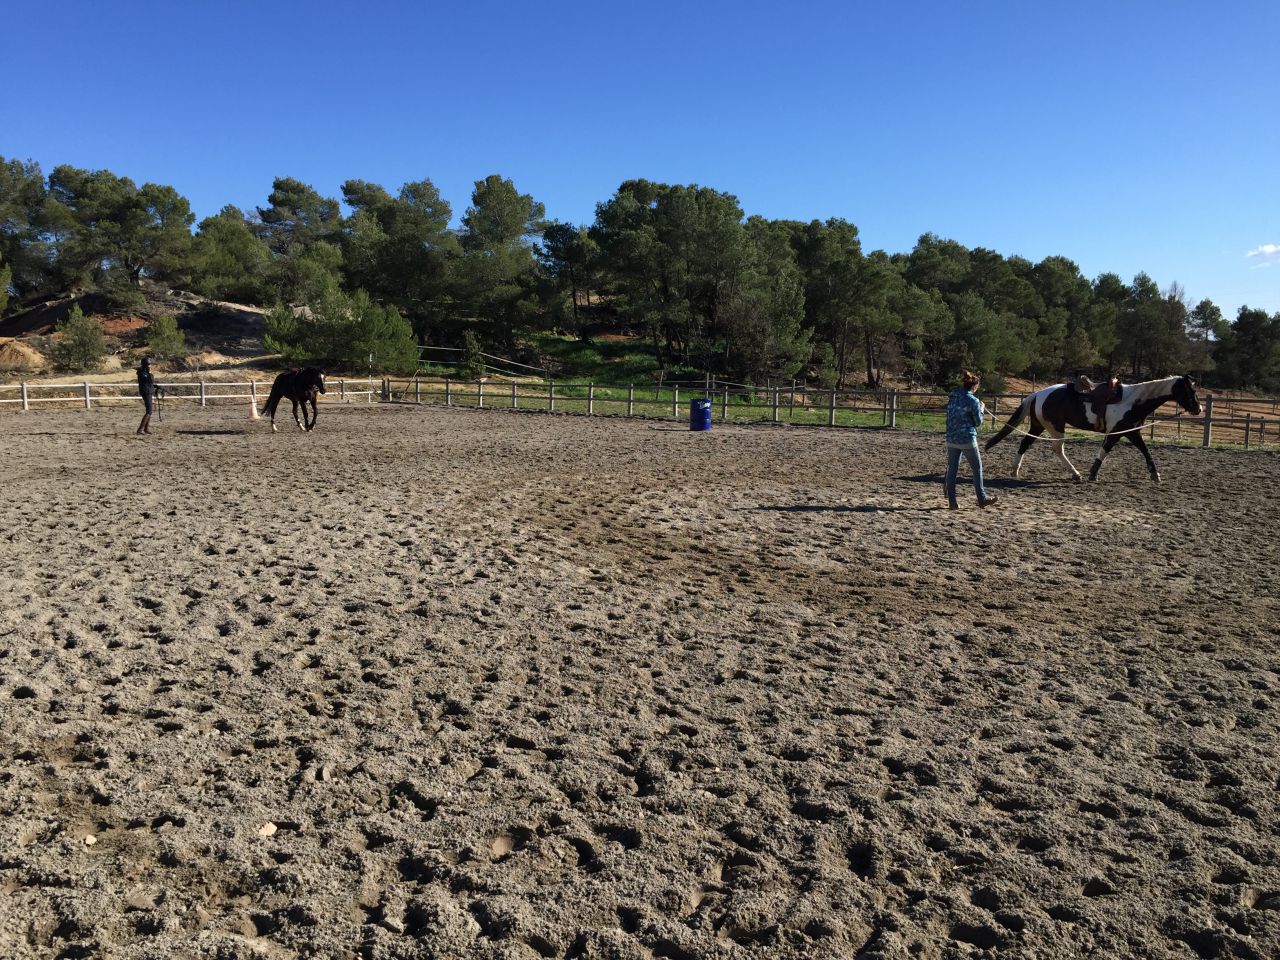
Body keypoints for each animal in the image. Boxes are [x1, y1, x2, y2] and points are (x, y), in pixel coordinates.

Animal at [985, 375, 1201, 483]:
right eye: (1189, 390)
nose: (1198, 409)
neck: (1134, 401)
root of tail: (1038, 393)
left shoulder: (1132, 432)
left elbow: (1145, 450)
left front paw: (1155, 474)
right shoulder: (1116, 433)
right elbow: (1105, 451)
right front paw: (1092, 473)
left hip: (1039, 426)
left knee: (1025, 443)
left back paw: (1015, 471)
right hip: (1056, 427)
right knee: (1057, 449)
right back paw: (1075, 474)